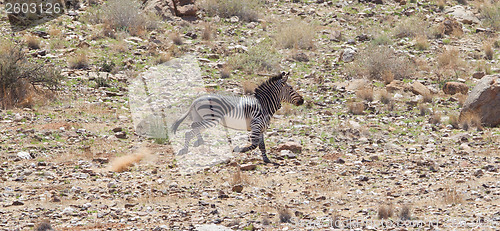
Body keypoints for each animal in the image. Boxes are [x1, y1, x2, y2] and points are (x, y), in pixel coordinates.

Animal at [172, 71, 304, 162]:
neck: (263, 104)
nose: (302, 100)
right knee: (191, 129)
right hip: (211, 119)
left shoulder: (261, 128)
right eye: (291, 88)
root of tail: (196, 100)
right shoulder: (256, 126)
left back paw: (199, 141)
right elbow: (254, 145)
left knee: (194, 126)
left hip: (200, 117)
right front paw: (238, 149)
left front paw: (266, 159)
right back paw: (185, 149)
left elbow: (262, 145)